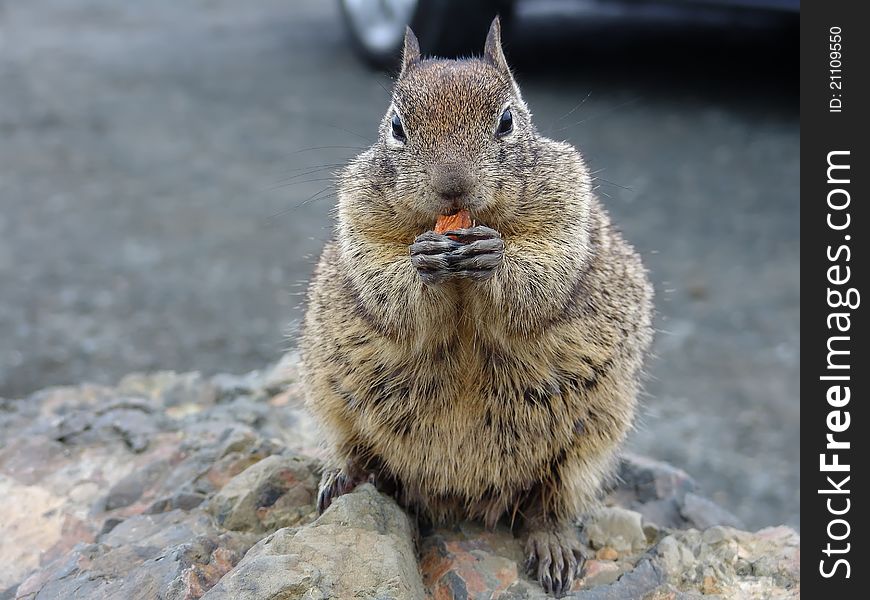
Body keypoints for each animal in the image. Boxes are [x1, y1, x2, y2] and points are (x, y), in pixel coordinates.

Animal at [302, 16, 656, 596]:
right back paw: (343, 477)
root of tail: (462, 497)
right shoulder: (359, 220)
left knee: (547, 505)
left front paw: (495, 257)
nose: (453, 186)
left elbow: (545, 275)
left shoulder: (567, 208)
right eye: (396, 126)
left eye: (507, 120)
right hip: (333, 404)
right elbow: (384, 284)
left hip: (587, 447)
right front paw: (420, 262)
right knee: (360, 455)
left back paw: (553, 547)